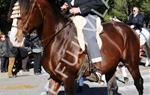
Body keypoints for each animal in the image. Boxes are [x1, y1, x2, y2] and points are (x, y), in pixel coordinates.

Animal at [11, 0, 144, 94]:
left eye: (26, 11)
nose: (14, 39)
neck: (57, 38)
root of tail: (129, 29)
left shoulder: (68, 78)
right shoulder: (55, 77)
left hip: (131, 63)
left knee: (139, 82)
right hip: (111, 66)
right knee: (112, 88)